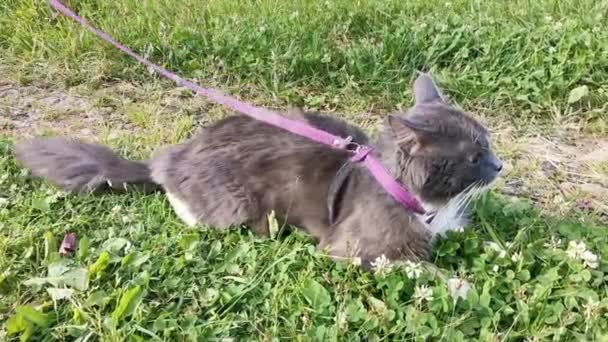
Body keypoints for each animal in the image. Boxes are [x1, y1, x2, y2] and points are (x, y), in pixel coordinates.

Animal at [13, 73, 504, 268]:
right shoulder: (357, 251)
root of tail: (171, 157)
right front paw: (460, 284)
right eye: (475, 154)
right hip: (238, 207)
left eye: (489, 143)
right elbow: (422, 268)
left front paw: (500, 250)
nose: (500, 165)